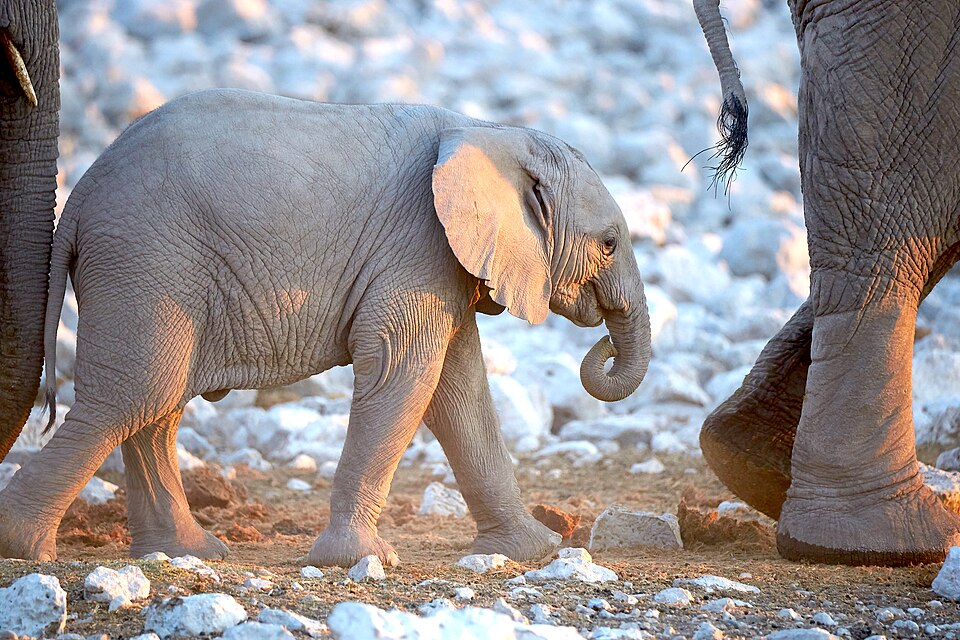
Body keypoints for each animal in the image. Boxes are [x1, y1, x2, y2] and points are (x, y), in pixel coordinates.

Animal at [0, 88, 652, 566]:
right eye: (609, 243)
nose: (601, 343)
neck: (490, 131)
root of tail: (78, 197)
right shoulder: (416, 245)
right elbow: (404, 375)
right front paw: (361, 560)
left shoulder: (442, 261)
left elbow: (458, 389)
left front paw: (536, 551)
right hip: (146, 260)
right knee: (133, 396)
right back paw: (23, 547)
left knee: (154, 406)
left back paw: (190, 552)